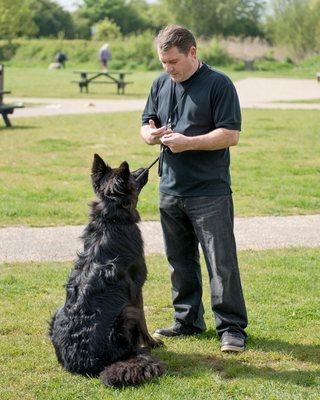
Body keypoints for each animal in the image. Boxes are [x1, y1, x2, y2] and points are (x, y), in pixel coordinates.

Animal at [50, 154, 165, 388]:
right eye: (132, 174)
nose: (144, 167)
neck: (111, 217)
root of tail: (85, 364)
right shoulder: (137, 290)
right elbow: (144, 320)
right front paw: (151, 342)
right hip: (126, 313)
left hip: (57, 312)